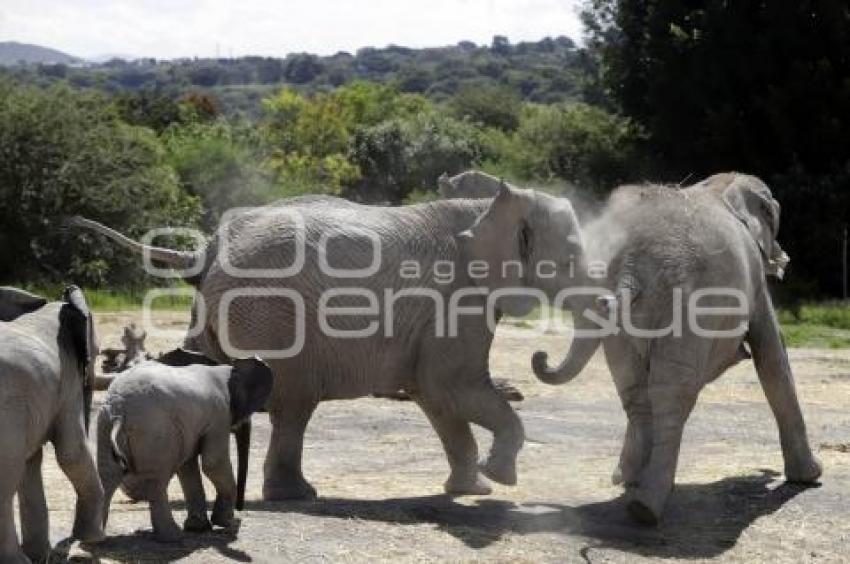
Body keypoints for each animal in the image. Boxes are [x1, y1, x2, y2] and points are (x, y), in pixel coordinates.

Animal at [0, 288, 104, 560]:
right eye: (98, 352)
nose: (69, 545)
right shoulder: (68, 382)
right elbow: (71, 453)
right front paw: (93, 537)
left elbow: (32, 462)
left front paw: (40, 554)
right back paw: (18, 561)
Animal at [74, 187, 584, 500]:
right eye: (573, 257)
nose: (540, 358)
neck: (486, 203)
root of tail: (211, 248)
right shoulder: (457, 300)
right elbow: (454, 387)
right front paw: (500, 479)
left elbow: (436, 396)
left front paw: (473, 490)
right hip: (272, 312)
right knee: (294, 402)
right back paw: (294, 495)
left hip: (221, 309)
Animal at [97, 350, 274, 540]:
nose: (240, 509)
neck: (226, 369)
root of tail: (120, 411)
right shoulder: (219, 415)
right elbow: (213, 464)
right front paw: (226, 523)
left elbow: (188, 466)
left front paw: (198, 527)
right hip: (155, 428)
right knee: (156, 481)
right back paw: (173, 537)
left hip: (105, 423)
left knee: (108, 476)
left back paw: (96, 537)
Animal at [532, 172, 820, 524]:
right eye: (775, 219)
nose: (541, 356)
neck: (720, 184)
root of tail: (631, 265)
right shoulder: (754, 283)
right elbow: (773, 355)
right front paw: (809, 477)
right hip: (687, 302)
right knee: (672, 393)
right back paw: (647, 507)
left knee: (634, 388)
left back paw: (632, 483)